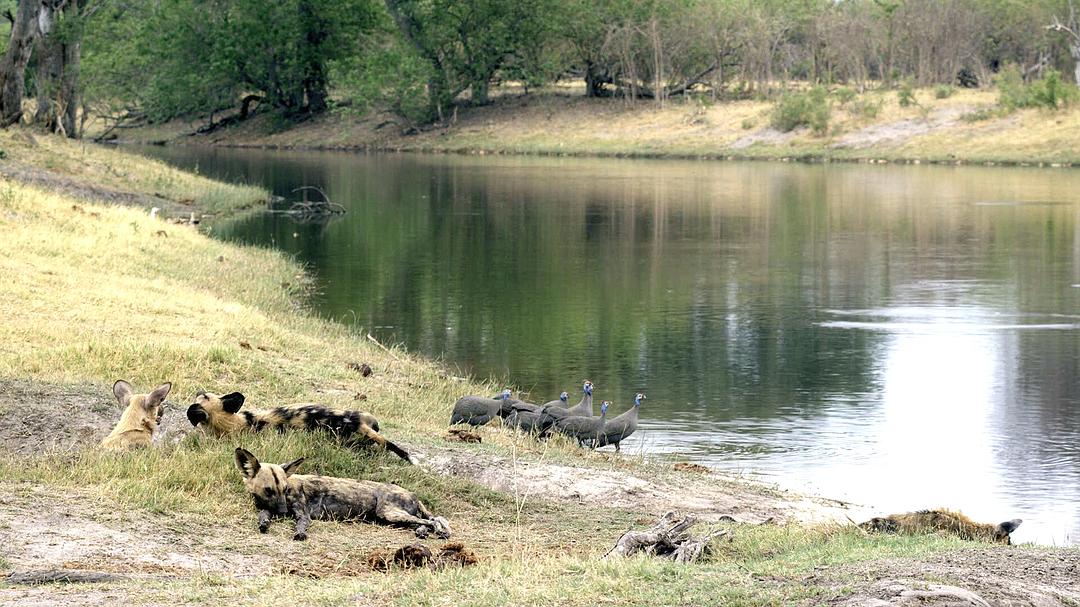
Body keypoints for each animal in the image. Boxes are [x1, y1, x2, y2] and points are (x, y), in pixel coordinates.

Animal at [234, 444, 449, 537]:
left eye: (285, 489)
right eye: (269, 490)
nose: (283, 512)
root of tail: (413, 494)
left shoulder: (303, 514)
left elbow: (300, 525)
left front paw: (299, 534)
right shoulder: (267, 507)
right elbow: (263, 516)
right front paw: (264, 523)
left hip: (389, 513)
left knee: (431, 521)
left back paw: (438, 531)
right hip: (393, 518)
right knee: (422, 522)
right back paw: (422, 532)